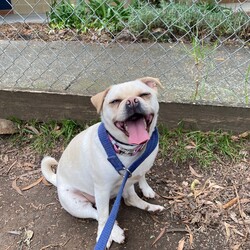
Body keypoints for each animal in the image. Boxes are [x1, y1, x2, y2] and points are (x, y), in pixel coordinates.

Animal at [41, 76, 164, 248]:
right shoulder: (102, 189)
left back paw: (151, 208)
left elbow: (142, 177)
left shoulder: (141, 169)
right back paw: (114, 231)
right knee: (97, 214)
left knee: (129, 199)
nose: (132, 101)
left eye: (144, 94)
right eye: (115, 101)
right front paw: (107, 233)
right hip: (76, 204)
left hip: (122, 188)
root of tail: (57, 179)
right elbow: (104, 215)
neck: (128, 149)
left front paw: (146, 189)